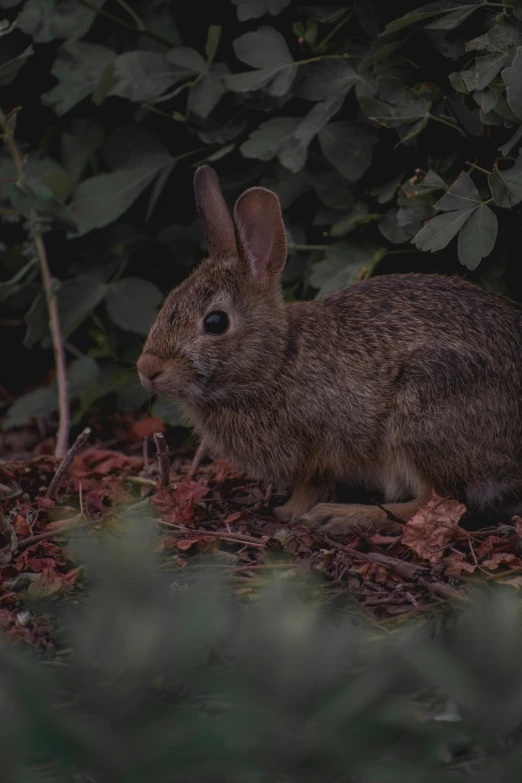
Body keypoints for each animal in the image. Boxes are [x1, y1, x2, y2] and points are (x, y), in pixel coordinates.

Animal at [136, 164, 520, 532]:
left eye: (215, 322)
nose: (147, 369)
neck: (275, 362)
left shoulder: (321, 447)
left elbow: (311, 484)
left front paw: (290, 511)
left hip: (425, 410)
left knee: (435, 502)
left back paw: (339, 517)